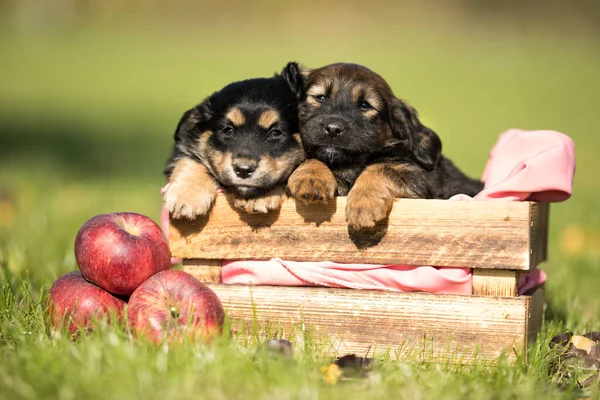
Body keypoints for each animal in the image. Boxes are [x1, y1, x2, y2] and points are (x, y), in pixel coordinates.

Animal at [163, 63, 304, 219]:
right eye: (228, 130)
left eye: (275, 133)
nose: (243, 170)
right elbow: (191, 158)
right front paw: (186, 197)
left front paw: (260, 196)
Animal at [284, 62, 486, 230]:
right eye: (320, 97)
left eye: (365, 106)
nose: (333, 129)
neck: (348, 164)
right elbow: (312, 157)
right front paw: (311, 178)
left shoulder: (416, 180)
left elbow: (380, 168)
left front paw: (363, 204)